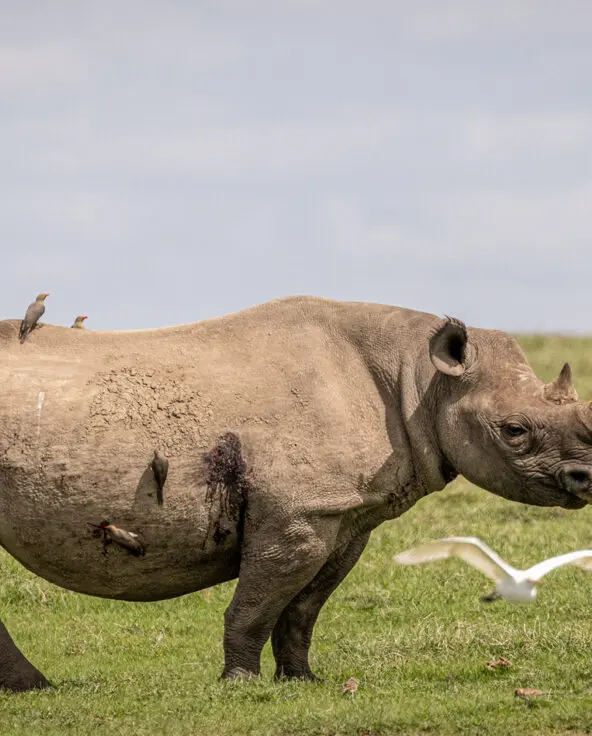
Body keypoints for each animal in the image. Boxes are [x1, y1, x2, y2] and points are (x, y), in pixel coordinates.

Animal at [1, 296, 591, 691]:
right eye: (514, 431)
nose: (586, 478)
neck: (421, 379)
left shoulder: (344, 515)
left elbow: (303, 608)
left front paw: (302, 682)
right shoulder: (298, 513)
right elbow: (256, 605)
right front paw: (240, 686)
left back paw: (31, 688)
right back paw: (35, 687)